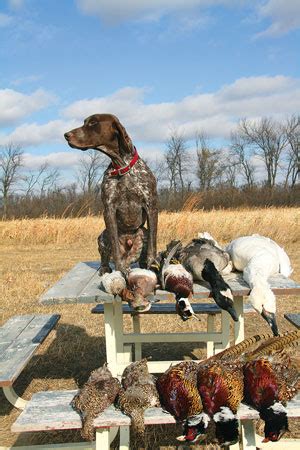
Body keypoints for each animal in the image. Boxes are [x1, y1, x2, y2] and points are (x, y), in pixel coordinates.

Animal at [64, 112, 158, 274]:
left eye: (93, 123)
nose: (66, 135)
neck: (122, 167)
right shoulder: (109, 209)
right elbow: (115, 247)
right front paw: (119, 270)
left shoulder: (151, 206)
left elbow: (153, 243)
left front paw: (152, 264)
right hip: (103, 235)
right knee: (107, 256)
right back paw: (106, 268)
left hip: (142, 232)